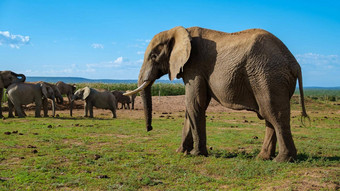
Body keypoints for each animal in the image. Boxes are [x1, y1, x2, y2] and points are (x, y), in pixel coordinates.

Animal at [124, 26, 308, 162]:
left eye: (154, 56)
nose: (149, 129)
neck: (178, 31)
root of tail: (295, 63)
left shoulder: (195, 66)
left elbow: (194, 103)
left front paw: (196, 154)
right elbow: (191, 108)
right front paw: (181, 152)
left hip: (268, 76)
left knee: (273, 113)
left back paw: (283, 160)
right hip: (270, 78)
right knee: (268, 114)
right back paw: (262, 158)